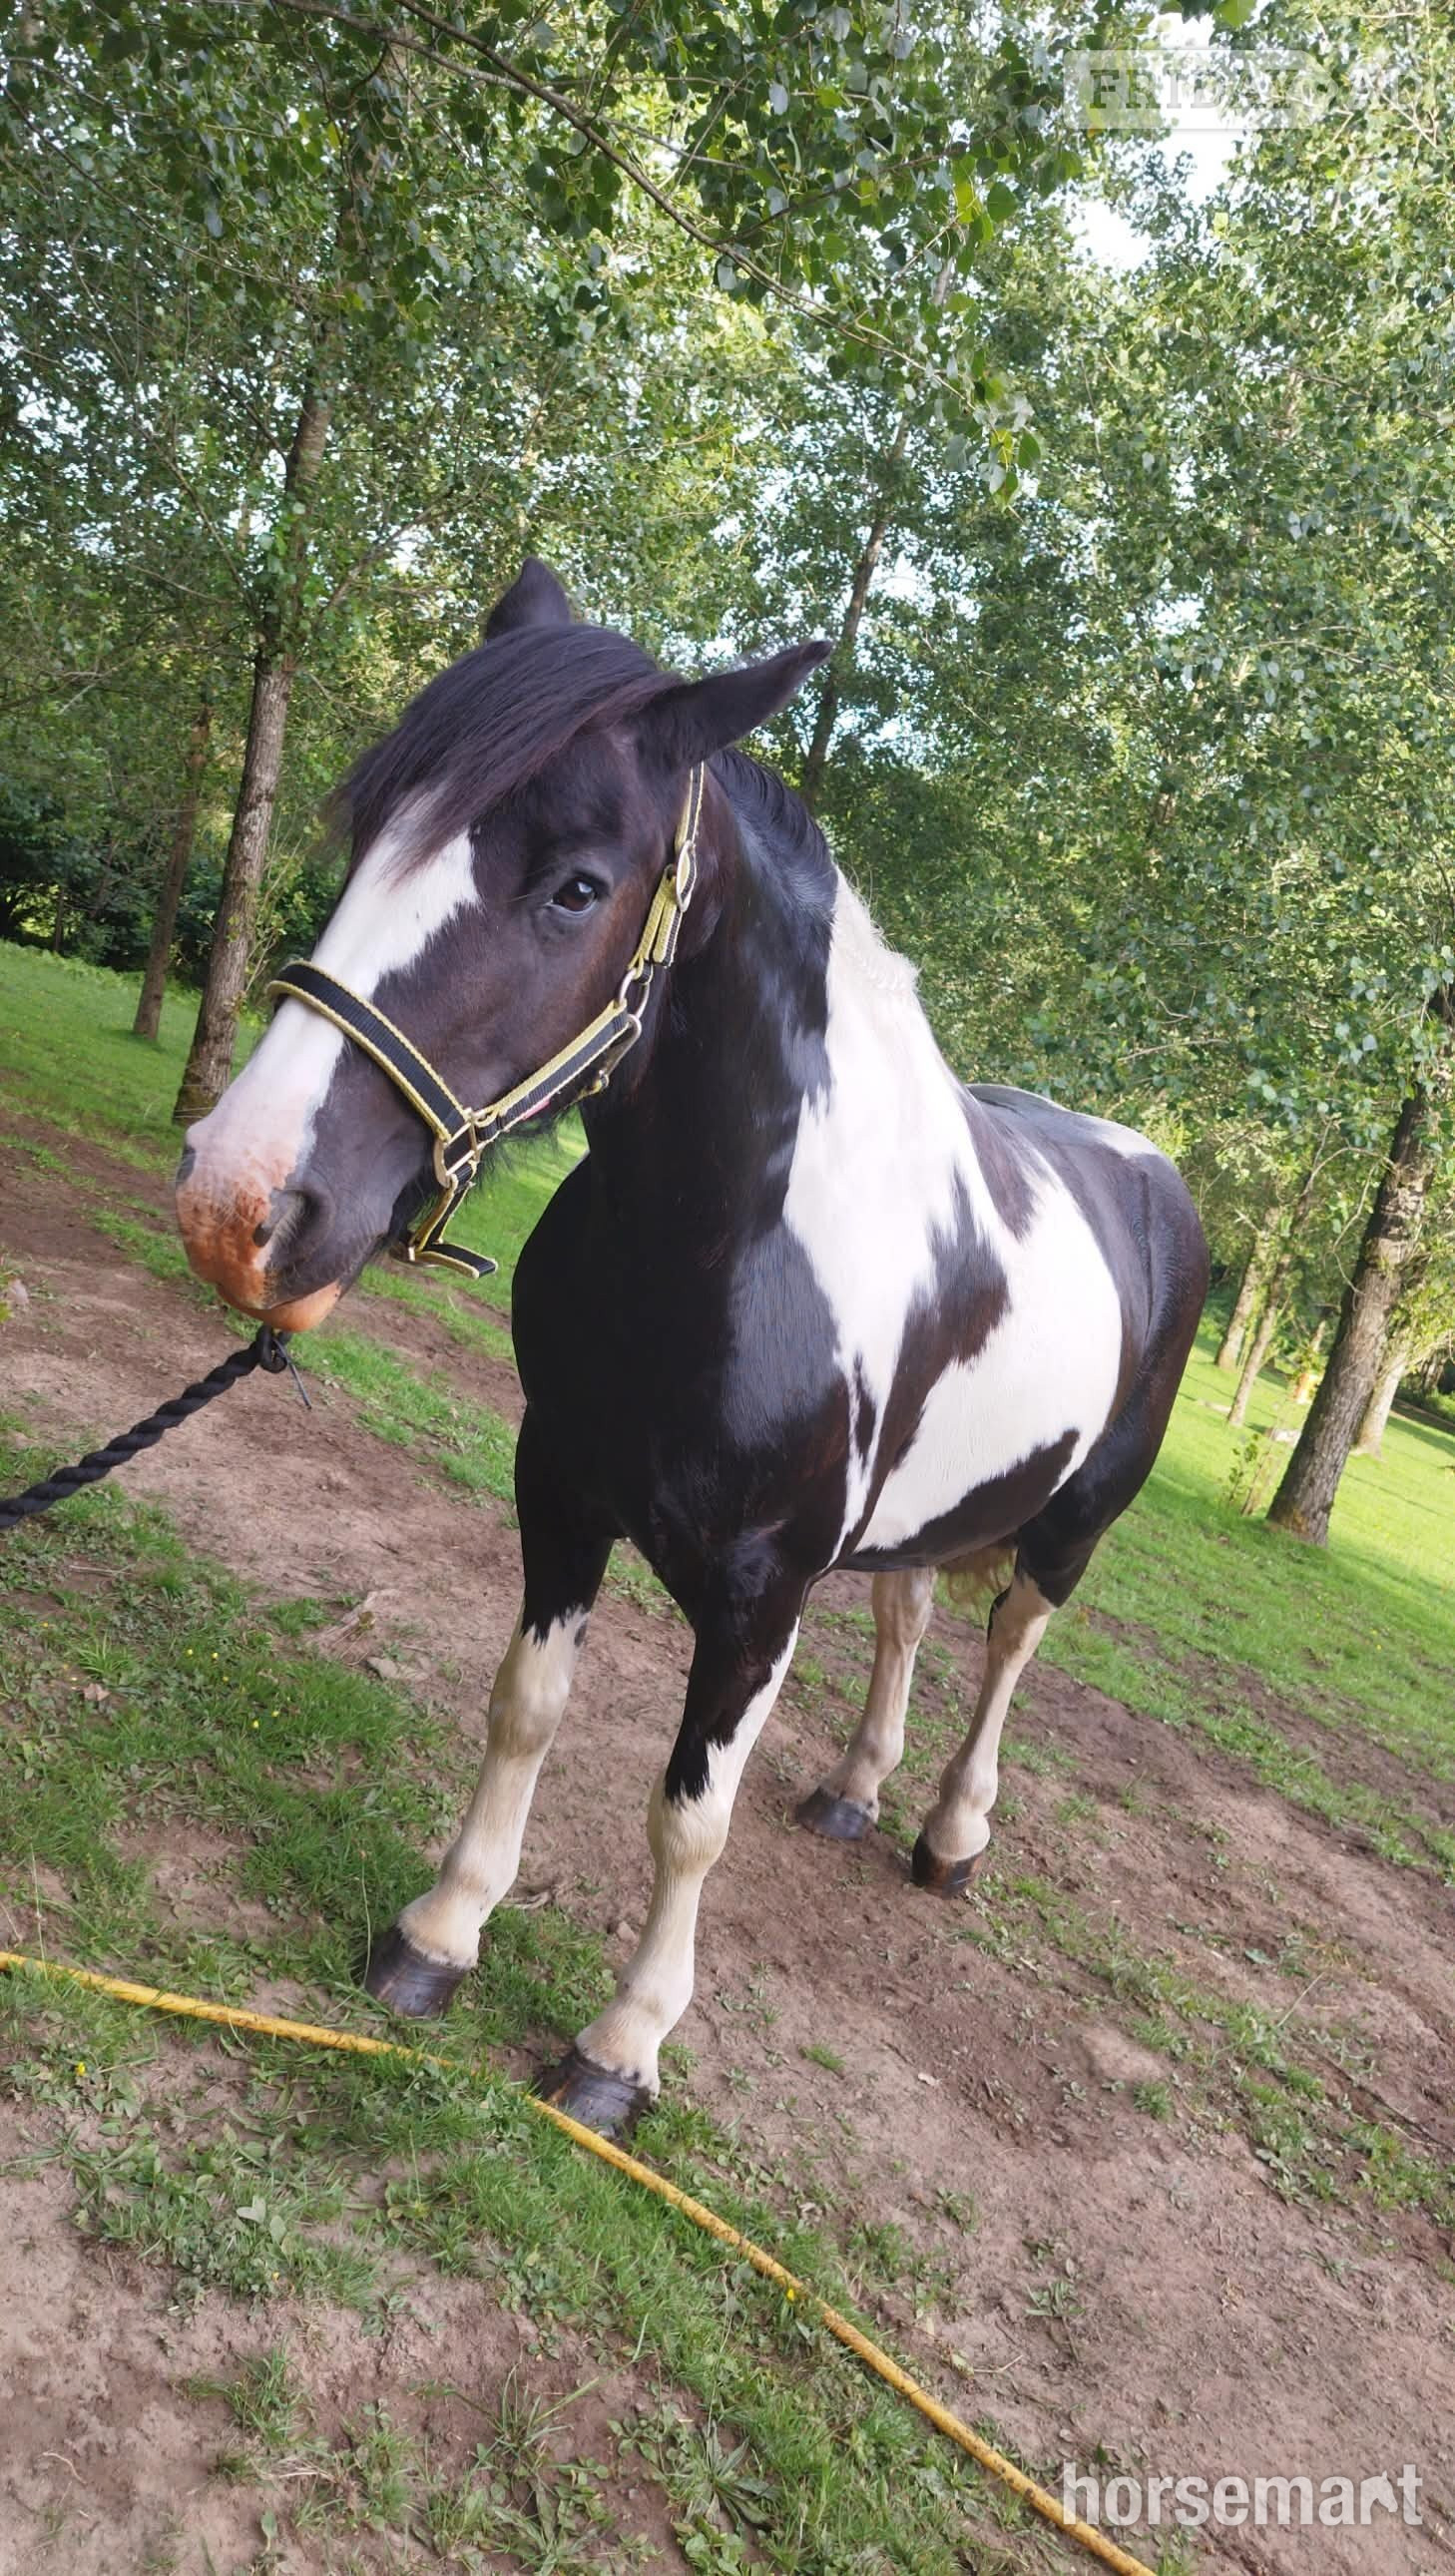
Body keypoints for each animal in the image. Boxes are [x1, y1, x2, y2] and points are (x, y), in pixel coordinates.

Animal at [176, 558, 1209, 2138]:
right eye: (368, 828)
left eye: (577, 887)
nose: (242, 1203)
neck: (733, 1254)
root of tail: (1149, 1173)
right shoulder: (559, 1482)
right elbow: (525, 1708)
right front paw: (439, 1934)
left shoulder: (759, 1592)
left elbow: (688, 1816)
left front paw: (622, 2047)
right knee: (911, 1616)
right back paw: (855, 1788)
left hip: (1071, 1523)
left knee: (1008, 1647)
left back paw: (950, 1830)